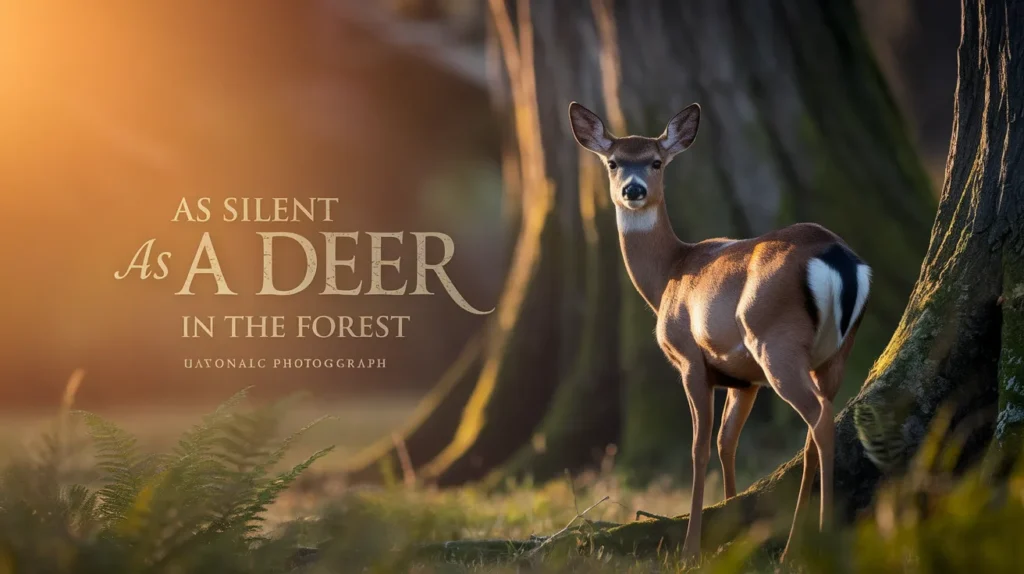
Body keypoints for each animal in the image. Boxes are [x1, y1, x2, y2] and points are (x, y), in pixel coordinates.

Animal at [568, 101, 871, 560]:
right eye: (613, 162)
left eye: (656, 161)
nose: (633, 190)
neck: (668, 276)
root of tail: (838, 257)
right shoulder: (743, 379)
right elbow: (728, 442)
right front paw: (731, 527)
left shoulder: (690, 358)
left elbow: (698, 448)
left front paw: (691, 548)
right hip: (836, 352)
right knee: (817, 426)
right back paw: (797, 542)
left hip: (774, 341)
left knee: (818, 417)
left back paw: (812, 542)